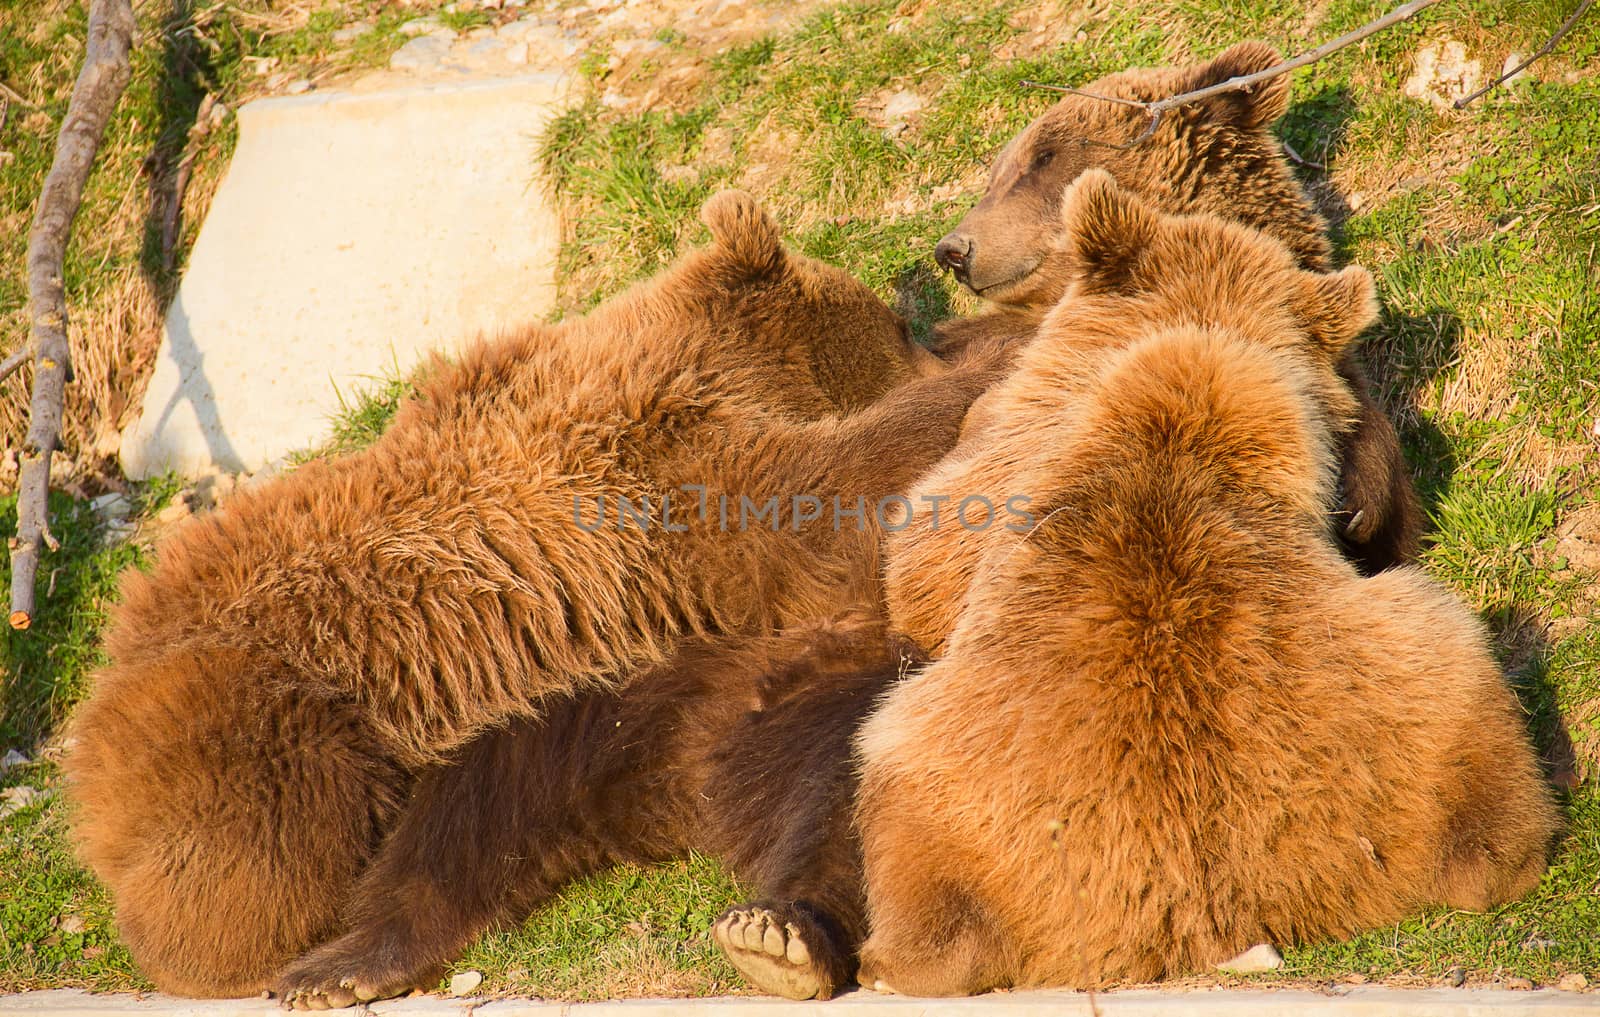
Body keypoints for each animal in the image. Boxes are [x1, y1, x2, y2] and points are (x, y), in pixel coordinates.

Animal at [72, 190, 998, 1004]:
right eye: (891, 325)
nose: (932, 337)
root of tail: (90, 728)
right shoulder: (655, 483)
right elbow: (828, 505)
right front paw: (973, 385)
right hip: (262, 716)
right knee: (267, 853)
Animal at [851, 168, 1561, 991]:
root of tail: (1205, 916)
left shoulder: (983, 478)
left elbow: (919, 551)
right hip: (1416, 701)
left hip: (956, 783)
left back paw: (892, 955)